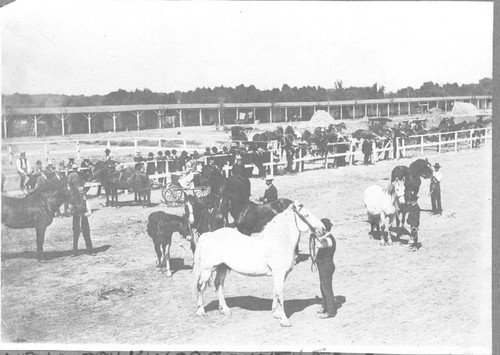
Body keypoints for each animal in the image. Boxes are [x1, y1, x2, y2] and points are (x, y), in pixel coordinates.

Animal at [191, 203, 324, 328]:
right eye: (306, 215)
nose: (323, 228)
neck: (278, 242)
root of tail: (208, 235)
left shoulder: (281, 275)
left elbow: (276, 292)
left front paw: (276, 313)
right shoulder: (279, 274)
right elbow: (280, 295)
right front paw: (284, 321)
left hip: (222, 267)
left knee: (218, 285)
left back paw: (225, 310)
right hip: (207, 269)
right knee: (200, 286)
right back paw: (200, 311)